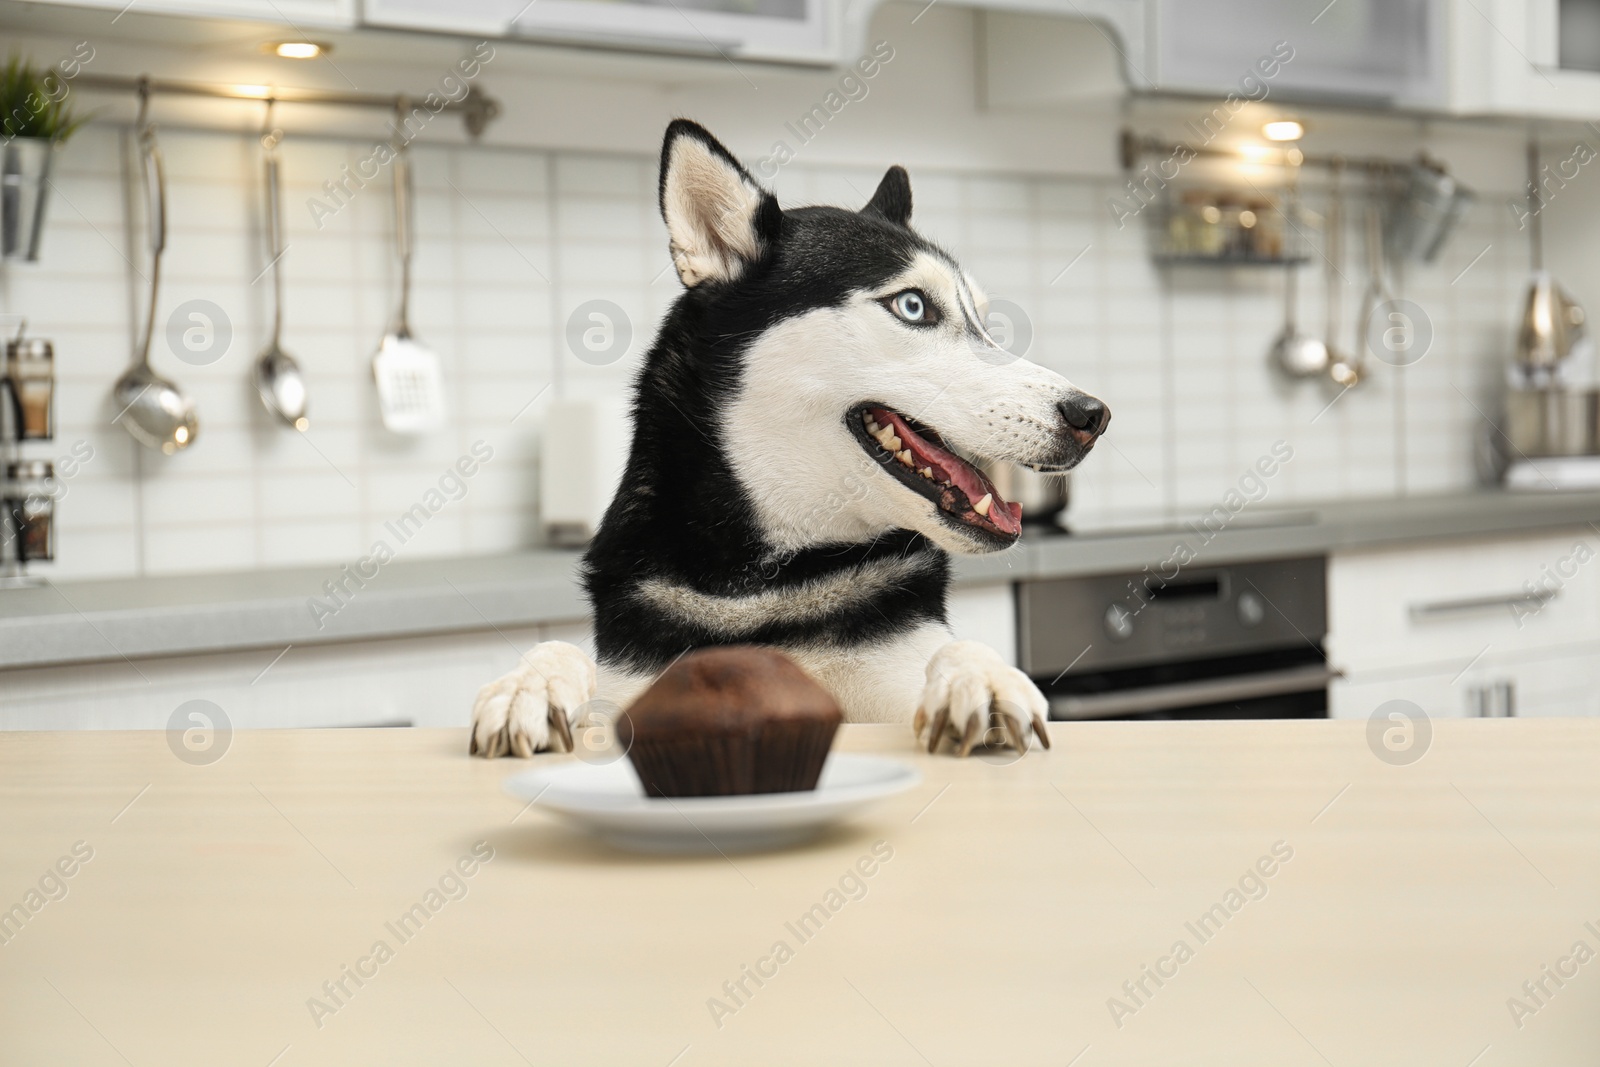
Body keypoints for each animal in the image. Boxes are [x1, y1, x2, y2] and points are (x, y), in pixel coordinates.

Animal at [467, 119, 1107, 758]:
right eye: (913, 306)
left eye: (985, 322)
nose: (1093, 415)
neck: (768, 583)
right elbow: (565, 652)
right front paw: (528, 685)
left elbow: (952, 650)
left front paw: (984, 677)